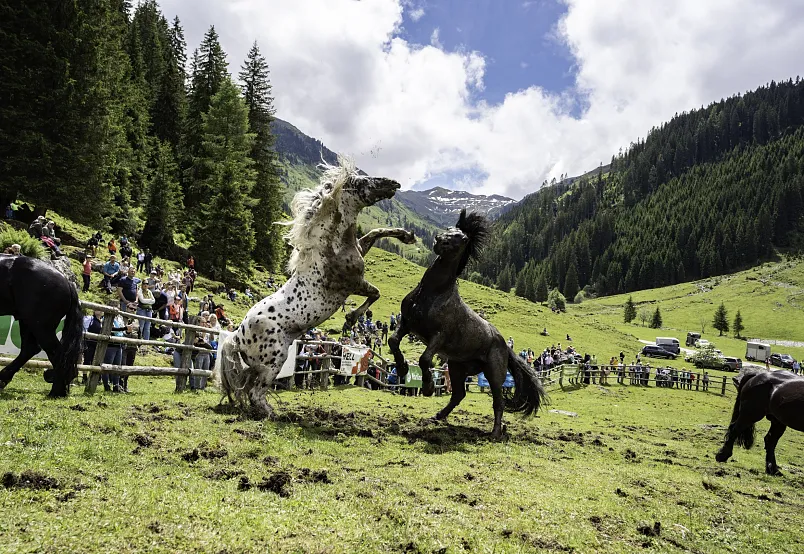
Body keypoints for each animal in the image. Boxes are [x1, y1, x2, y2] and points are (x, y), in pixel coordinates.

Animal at [0, 255, 84, 396]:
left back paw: (56, 392)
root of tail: (67, 282)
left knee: (57, 354)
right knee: (30, 349)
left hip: (40, 327)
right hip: (28, 322)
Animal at [214, 156, 414, 418]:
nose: (393, 183)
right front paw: (351, 318)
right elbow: (375, 293)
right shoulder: (353, 284)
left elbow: (375, 232)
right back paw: (276, 416)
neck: (330, 247)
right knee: (256, 392)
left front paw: (406, 236)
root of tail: (237, 335)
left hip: (261, 364)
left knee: (247, 388)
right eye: (361, 182)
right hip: (274, 360)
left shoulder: (360, 251)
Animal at [388, 210, 547, 439]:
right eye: (449, 229)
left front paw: (428, 386)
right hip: (457, 367)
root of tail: (504, 344)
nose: (440, 241)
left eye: (462, 239)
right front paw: (401, 368)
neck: (432, 294)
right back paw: (438, 416)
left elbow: (425, 358)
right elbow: (393, 341)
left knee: (498, 402)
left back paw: (495, 433)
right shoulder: (408, 323)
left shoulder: (439, 336)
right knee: (459, 395)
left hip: (493, 373)